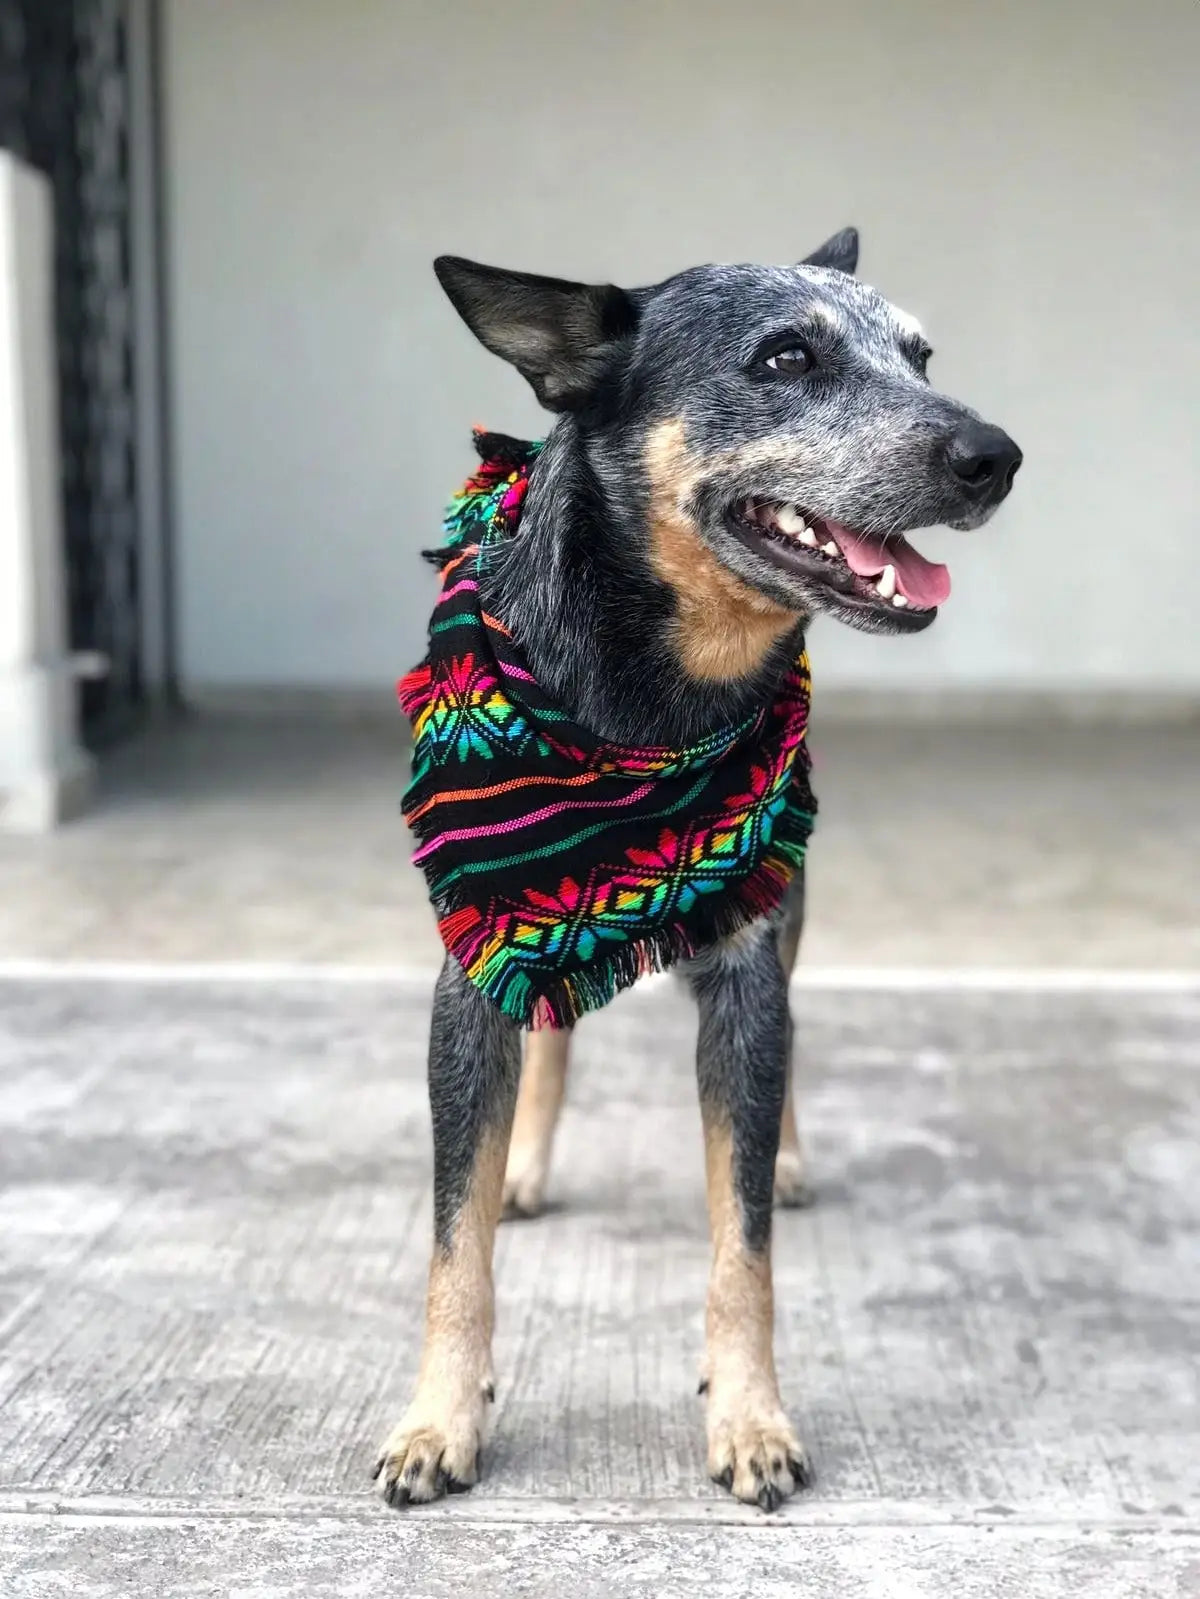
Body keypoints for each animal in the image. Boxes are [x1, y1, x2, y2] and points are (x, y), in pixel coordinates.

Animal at [376, 228, 1024, 1509]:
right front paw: (439, 1418)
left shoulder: (745, 966)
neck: (646, 709)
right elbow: (454, 1244)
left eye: (921, 357)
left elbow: (745, 1244)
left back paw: (795, 1156)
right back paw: (529, 1162)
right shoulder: (471, 967)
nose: (996, 456)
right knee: (552, 1028)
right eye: (785, 357)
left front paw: (752, 1417)